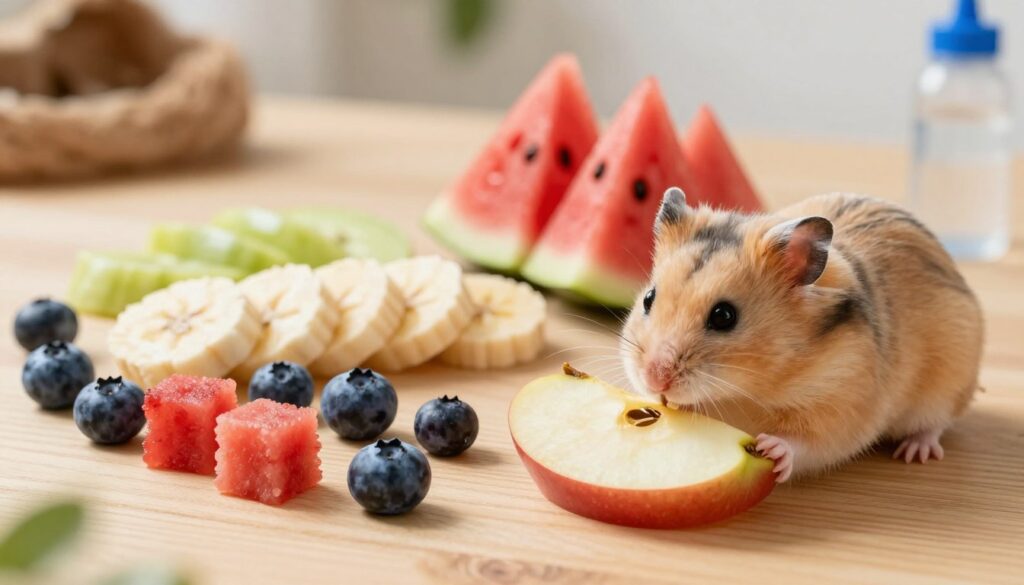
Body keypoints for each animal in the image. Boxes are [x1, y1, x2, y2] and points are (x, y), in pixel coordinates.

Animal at [620, 188, 983, 482]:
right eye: (649, 298)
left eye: (724, 316)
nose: (654, 378)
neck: (746, 390)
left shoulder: (841, 406)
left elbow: (810, 444)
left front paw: (771, 447)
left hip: (949, 380)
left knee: (936, 422)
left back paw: (915, 451)